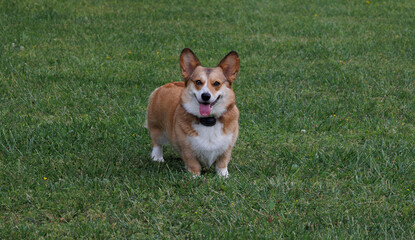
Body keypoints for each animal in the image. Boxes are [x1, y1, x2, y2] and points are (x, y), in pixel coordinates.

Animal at [146, 47, 240, 177]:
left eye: (216, 83)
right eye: (198, 82)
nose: (205, 96)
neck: (208, 121)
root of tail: (165, 85)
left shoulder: (227, 147)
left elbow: (222, 163)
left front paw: (224, 176)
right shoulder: (187, 149)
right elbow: (193, 164)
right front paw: (195, 177)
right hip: (156, 127)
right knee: (157, 143)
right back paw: (157, 158)